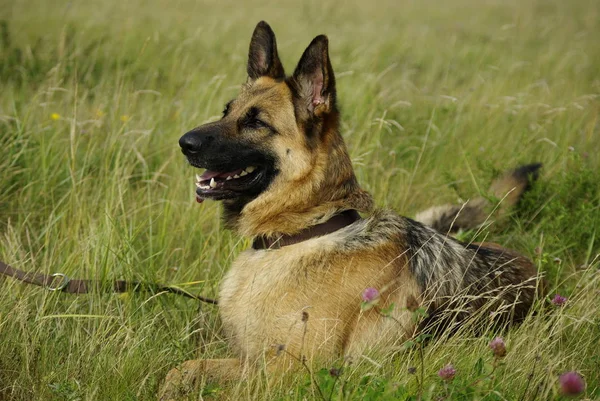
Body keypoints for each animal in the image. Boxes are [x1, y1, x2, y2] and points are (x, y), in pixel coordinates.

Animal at [159, 21, 544, 396]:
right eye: (227, 111)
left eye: (256, 123)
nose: (183, 143)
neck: (304, 229)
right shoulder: (249, 360)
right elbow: (183, 369)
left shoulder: (288, 374)